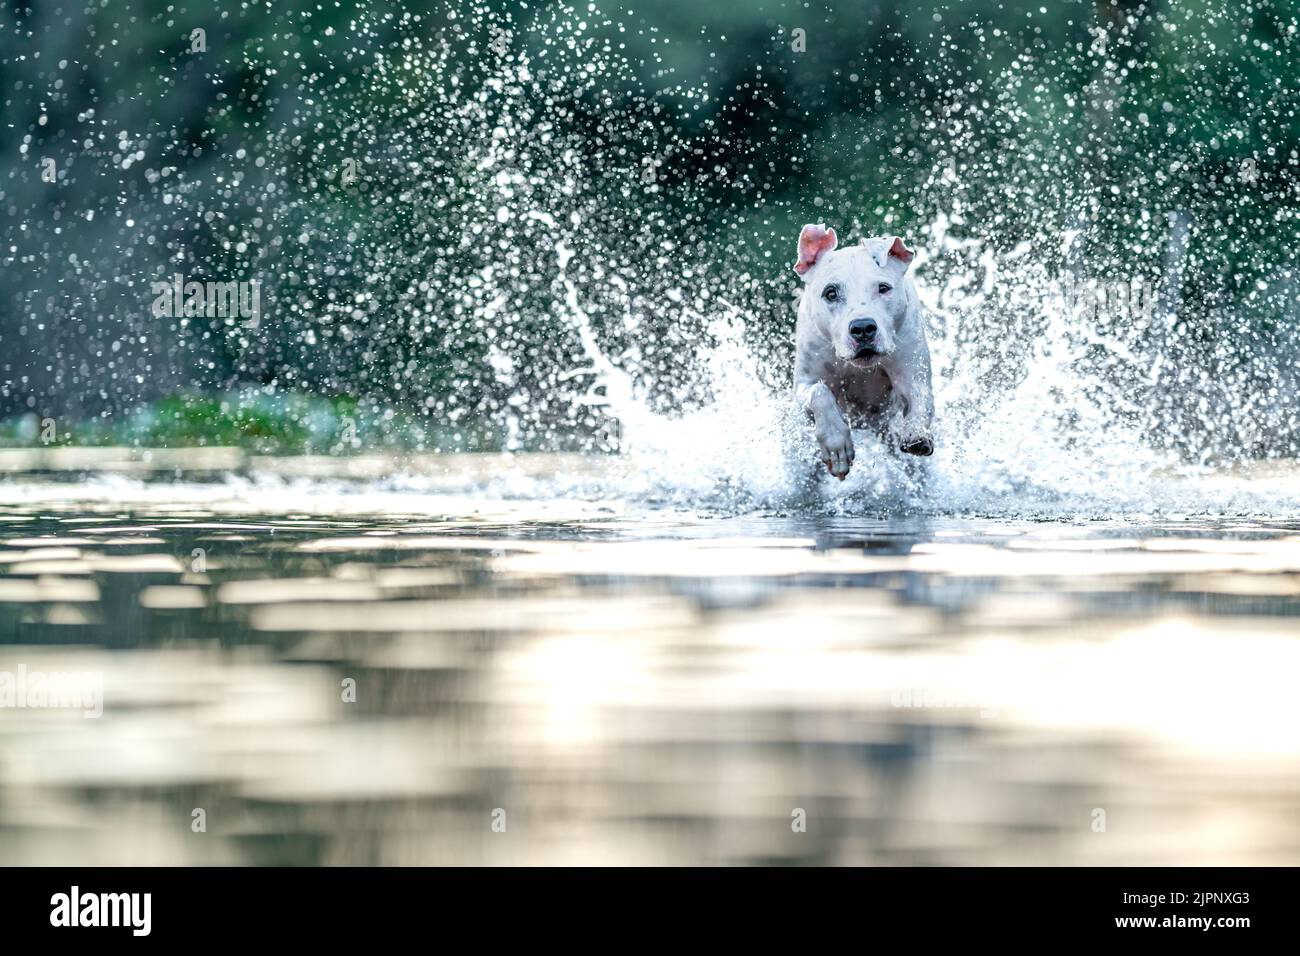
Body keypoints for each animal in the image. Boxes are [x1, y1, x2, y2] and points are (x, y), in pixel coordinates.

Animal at [790, 223, 935, 478]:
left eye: (883, 288)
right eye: (830, 293)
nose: (863, 328)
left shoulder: (912, 374)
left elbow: (920, 399)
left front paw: (916, 432)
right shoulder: (804, 385)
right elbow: (820, 393)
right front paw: (836, 444)